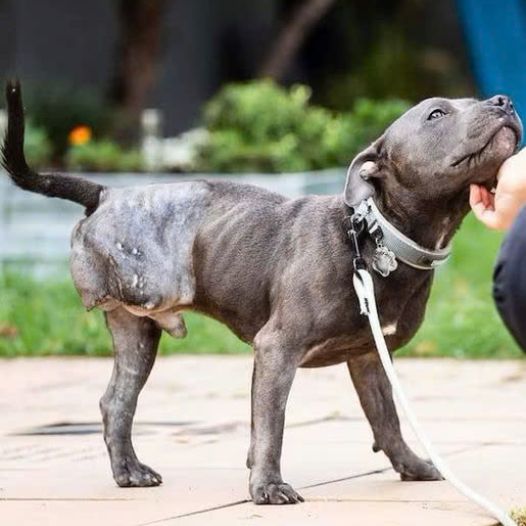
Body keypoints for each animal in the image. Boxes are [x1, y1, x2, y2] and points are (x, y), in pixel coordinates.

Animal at [3, 79, 524, 508]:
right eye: (436, 114)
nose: (505, 100)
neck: (376, 233)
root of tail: (106, 193)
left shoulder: (369, 357)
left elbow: (387, 419)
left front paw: (410, 466)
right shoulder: (277, 349)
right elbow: (271, 425)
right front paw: (267, 487)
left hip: (137, 334)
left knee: (116, 402)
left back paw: (129, 471)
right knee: (120, 401)